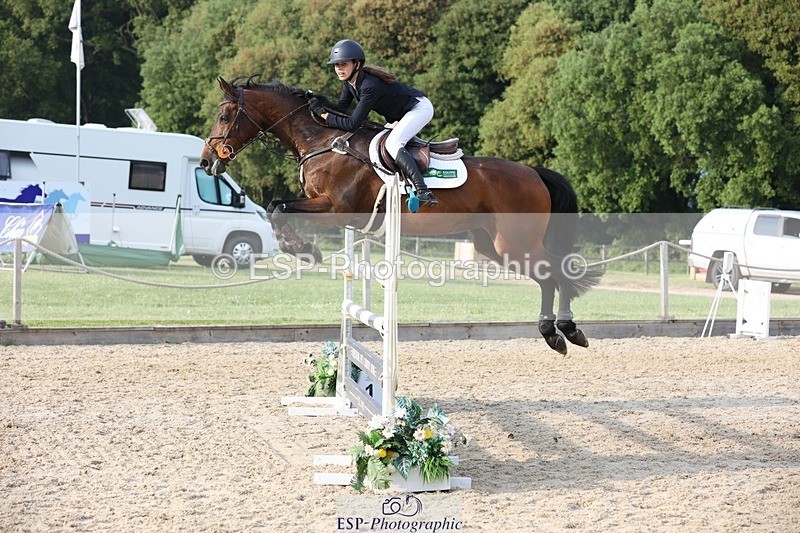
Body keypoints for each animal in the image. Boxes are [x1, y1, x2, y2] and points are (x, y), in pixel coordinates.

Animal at [200, 77, 601, 354]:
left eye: (224, 115)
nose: (206, 162)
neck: (323, 142)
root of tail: (534, 172)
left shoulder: (336, 210)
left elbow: (279, 208)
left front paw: (304, 250)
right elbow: (275, 208)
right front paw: (299, 248)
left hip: (515, 243)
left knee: (555, 272)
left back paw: (568, 331)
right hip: (493, 247)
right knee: (546, 276)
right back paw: (554, 334)